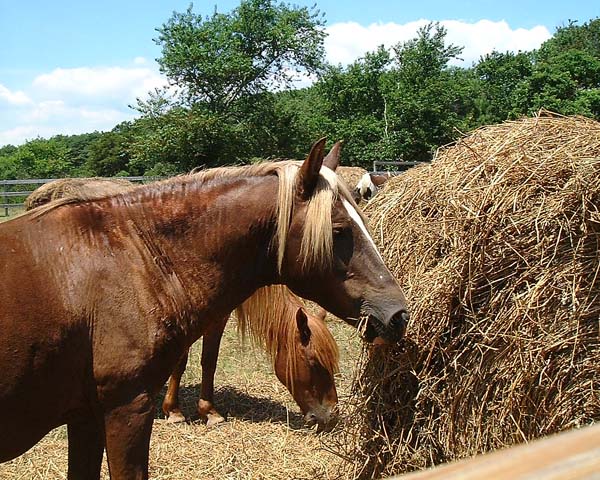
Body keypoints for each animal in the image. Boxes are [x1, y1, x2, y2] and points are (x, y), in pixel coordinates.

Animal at [162, 284, 340, 432]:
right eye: (314, 363)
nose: (332, 416)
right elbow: (181, 362)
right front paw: (174, 411)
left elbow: (210, 361)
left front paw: (208, 412)